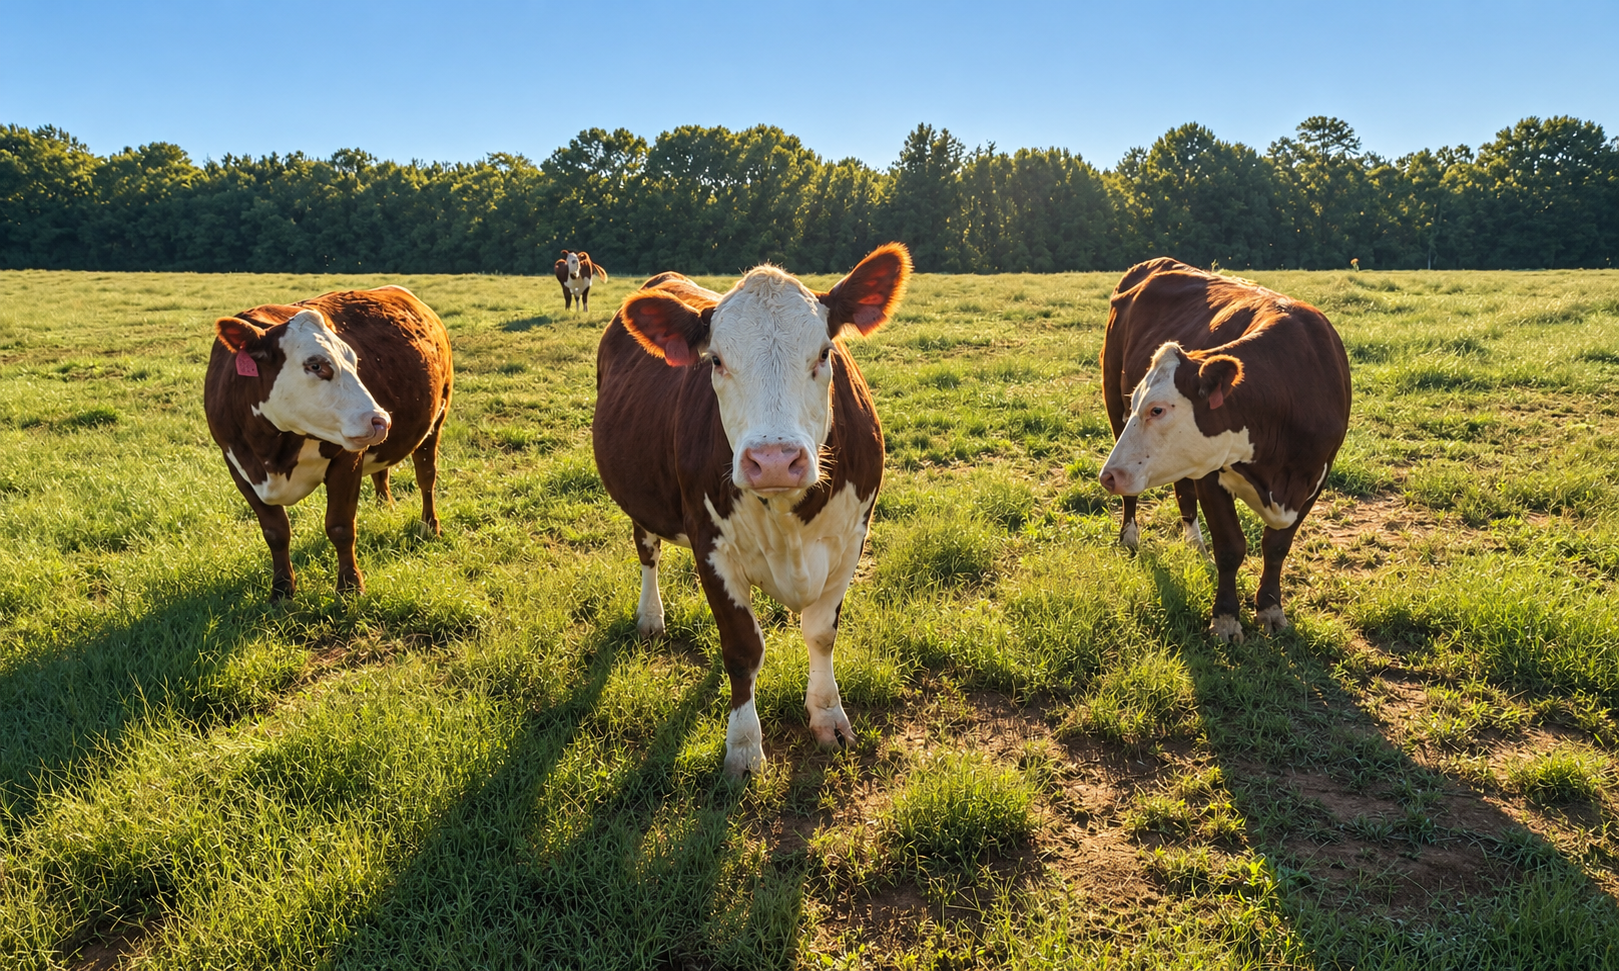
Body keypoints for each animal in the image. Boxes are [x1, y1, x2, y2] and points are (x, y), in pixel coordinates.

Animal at [205, 286, 453, 601]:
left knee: (426, 476)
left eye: (355, 362)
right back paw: (384, 506)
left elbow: (340, 526)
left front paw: (350, 587)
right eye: (315, 365)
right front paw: (282, 590)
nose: (380, 420)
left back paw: (429, 526)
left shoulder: (346, 460)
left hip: (437, 418)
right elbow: (275, 533)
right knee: (382, 472)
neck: (270, 452)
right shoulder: (238, 467)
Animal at [593, 244, 911, 777]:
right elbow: (742, 648)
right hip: (642, 498)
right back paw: (650, 616)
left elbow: (821, 634)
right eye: (717, 360)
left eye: (824, 353)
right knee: (647, 551)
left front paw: (829, 717)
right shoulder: (711, 547)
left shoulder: (851, 539)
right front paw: (743, 747)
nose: (774, 460)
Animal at [1097, 258, 1350, 643]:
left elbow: (1277, 546)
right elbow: (1231, 547)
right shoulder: (1211, 473)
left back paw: (1194, 545)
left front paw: (1270, 608)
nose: (1107, 476)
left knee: (1183, 494)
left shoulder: (1316, 477)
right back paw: (1129, 536)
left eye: (1158, 409)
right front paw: (1227, 618)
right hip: (1113, 402)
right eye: (1139, 401)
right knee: (1135, 497)